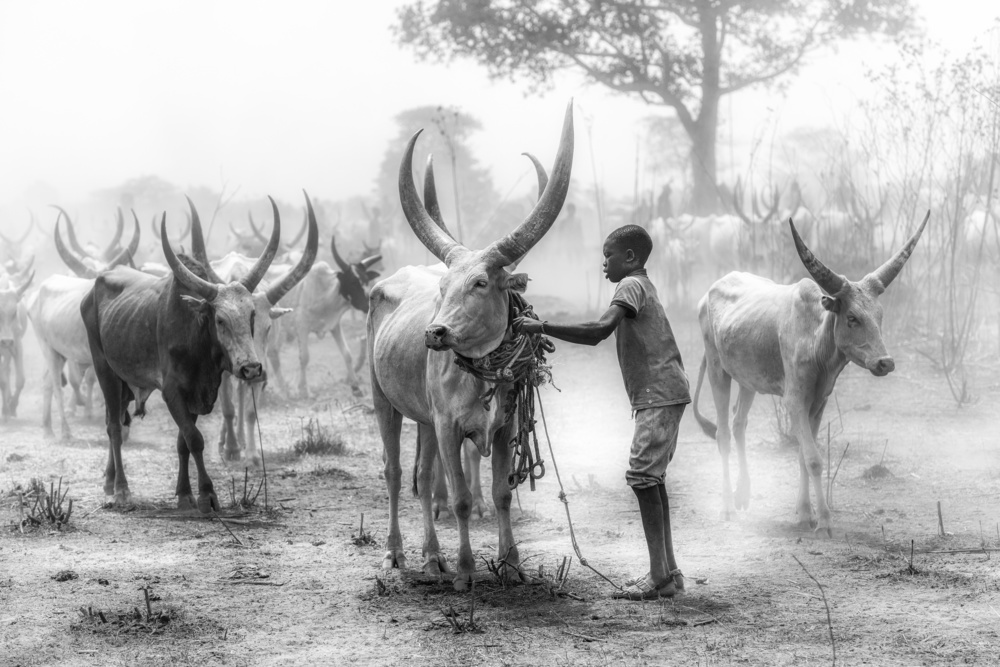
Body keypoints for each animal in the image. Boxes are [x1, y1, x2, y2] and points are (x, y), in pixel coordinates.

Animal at [80, 201, 284, 508]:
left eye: (251, 315)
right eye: (220, 320)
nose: (250, 369)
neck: (195, 333)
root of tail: (96, 284)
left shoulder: (197, 394)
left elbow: (182, 442)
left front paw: (185, 493)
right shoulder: (172, 391)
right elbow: (194, 438)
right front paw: (207, 494)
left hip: (125, 382)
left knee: (111, 422)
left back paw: (108, 481)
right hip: (105, 370)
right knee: (114, 428)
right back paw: (121, 489)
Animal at [370, 103, 576, 588]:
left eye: (481, 282)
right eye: (444, 286)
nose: (434, 333)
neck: (480, 373)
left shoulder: (502, 428)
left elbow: (502, 495)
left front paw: (512, 564)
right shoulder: (448, 426)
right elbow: (461, 499)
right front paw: (465, 572)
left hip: (423, 419)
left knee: (423, 477)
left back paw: (431, 558)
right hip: (383, 399)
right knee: (394, 473)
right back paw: (395, 553)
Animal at [696, 211, 928, 536]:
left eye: (879, 316)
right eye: (852, 317)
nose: (885, 362)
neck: (816, 341)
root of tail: (708, 294)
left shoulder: (818, 403)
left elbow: (803, 457)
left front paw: (805, 513)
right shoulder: (795, 401)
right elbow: (815, 459)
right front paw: (825, 522)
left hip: (748, 380)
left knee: (739, 423)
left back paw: (743, 494)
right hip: (718, 370)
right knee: (723, 434)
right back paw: (728, 507)